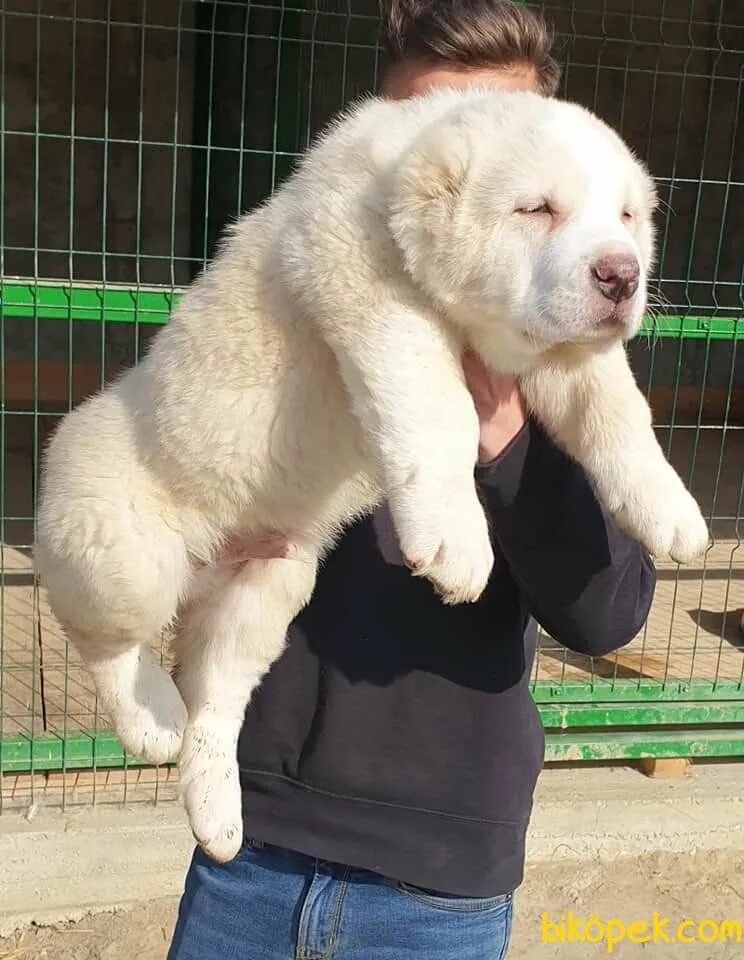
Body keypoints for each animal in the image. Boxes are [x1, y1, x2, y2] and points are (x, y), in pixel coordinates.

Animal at [35, 88, 708, 856]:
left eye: (626, 217)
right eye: (536, 209)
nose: (621, 275)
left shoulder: (567, 354)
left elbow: (616, 410)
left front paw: (670, 511)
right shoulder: (367, 281)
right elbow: (439, 401)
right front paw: (456, 542)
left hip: (273, 584)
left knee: (218, 694)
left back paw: (218, 811)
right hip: (122, 545)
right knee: (107, 640)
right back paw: (152, 718)